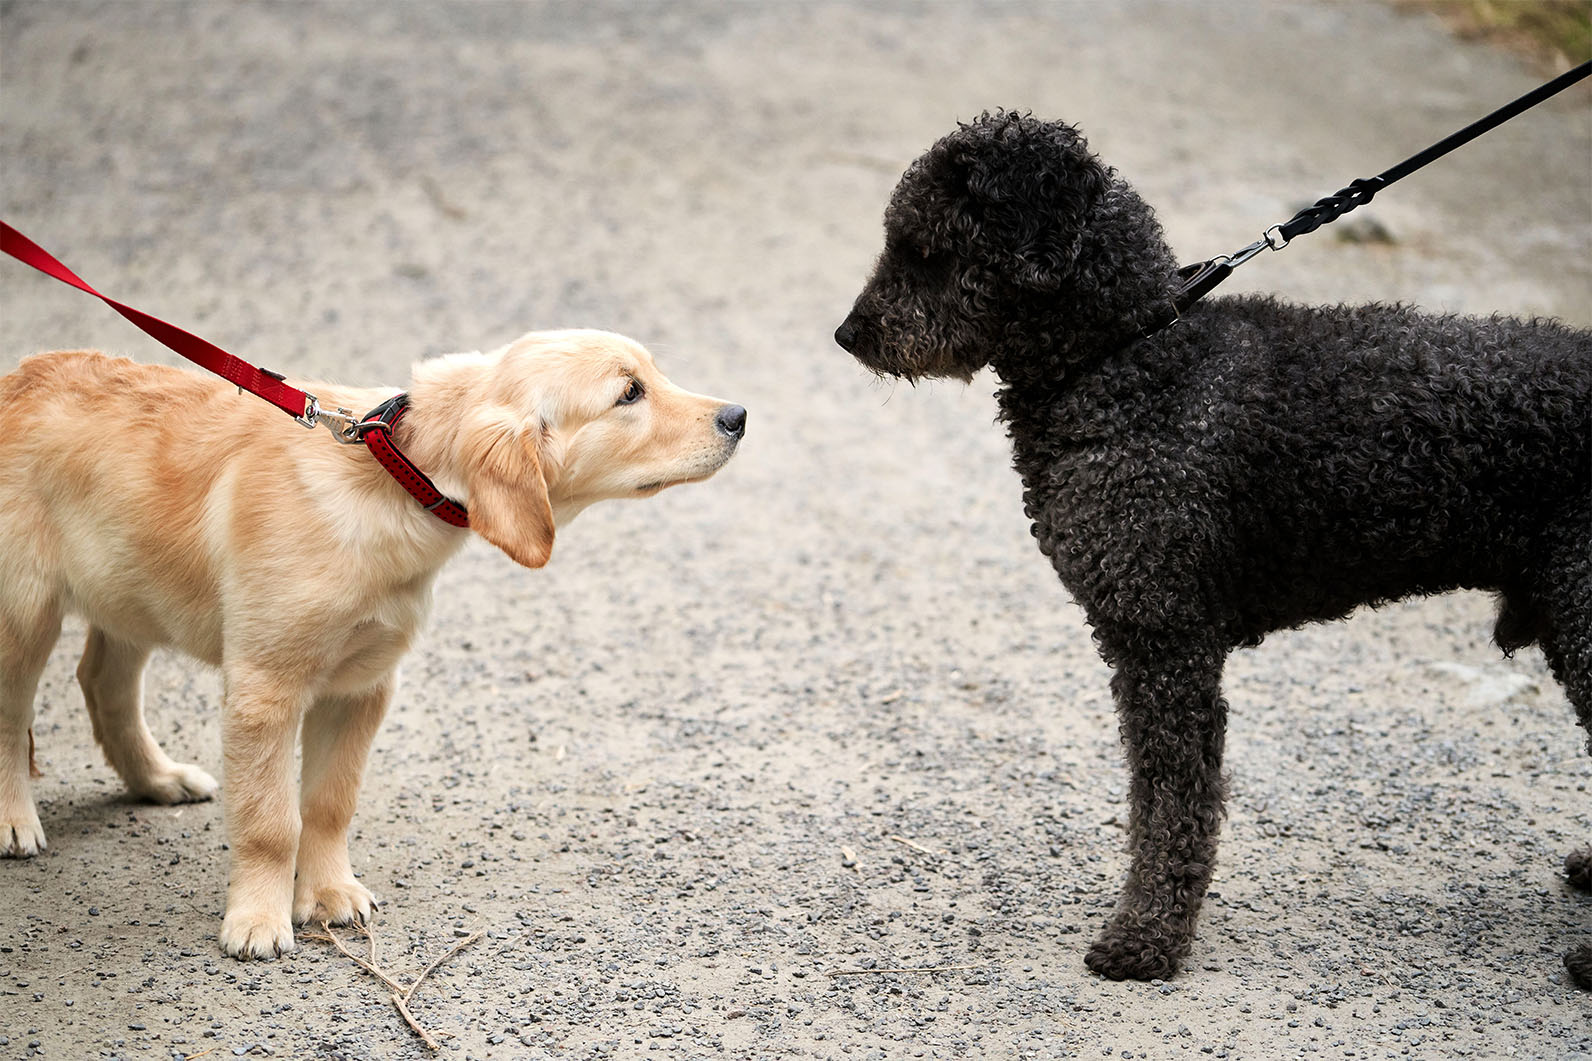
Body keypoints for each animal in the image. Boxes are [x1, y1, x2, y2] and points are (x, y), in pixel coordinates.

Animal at [0, 326, 745, 955]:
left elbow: (329, 803)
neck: (393, 474)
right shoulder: (265, 688)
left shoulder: (361, 685)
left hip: (130, 588)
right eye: (628, 393)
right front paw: (258, 920)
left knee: (104, 683)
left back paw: (157, 778)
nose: (738, 416)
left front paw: (328, 892)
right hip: (23, 611)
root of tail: (18, 375)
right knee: (12, 716)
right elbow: (271, 820)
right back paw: (13, 820)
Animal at [834, 111, 1592, 981]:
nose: (847, 334)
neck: (1130, 357)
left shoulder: (1167, 642)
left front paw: (1146, 937)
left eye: (925, 247)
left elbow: (1172, 805)